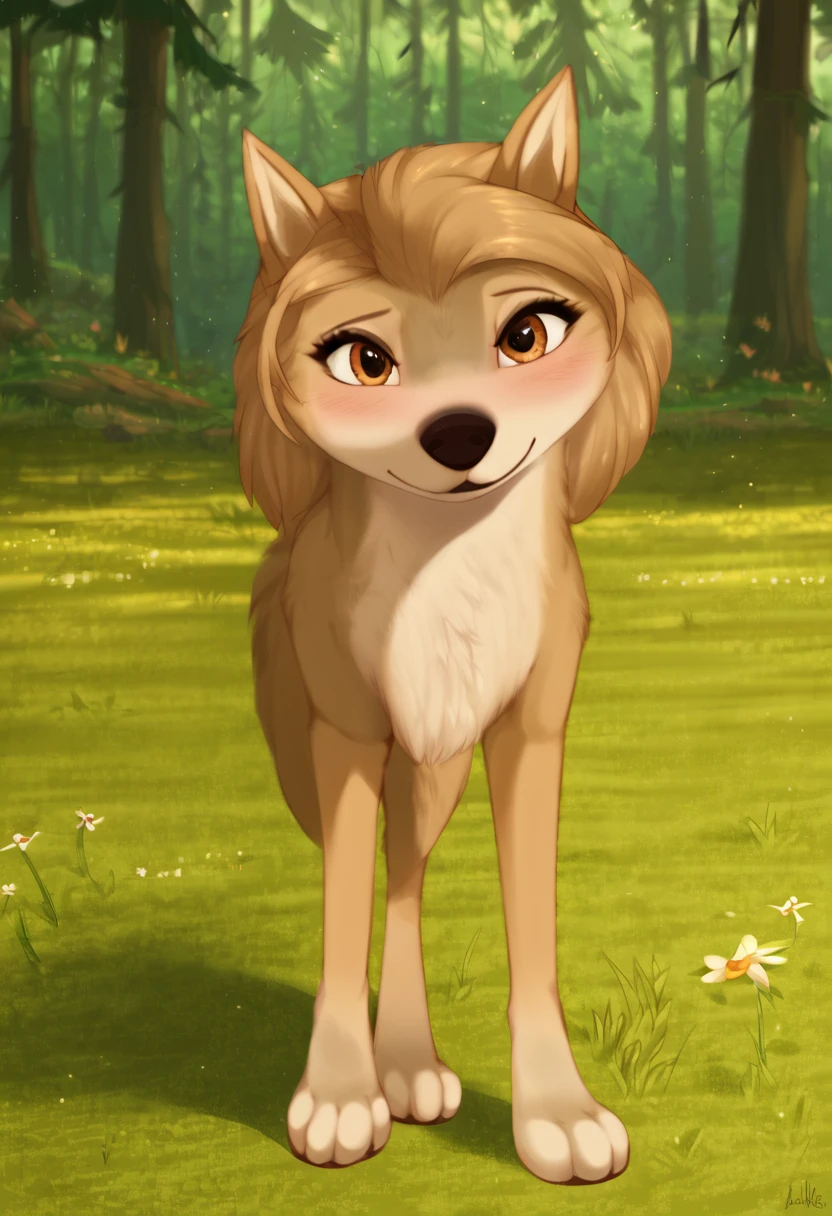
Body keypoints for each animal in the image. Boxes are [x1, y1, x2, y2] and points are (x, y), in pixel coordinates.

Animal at [233, 65, 672, 1182]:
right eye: (363, 360)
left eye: (527, 336)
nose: (461, 432)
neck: (449, 574)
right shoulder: (346, 733)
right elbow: (342, 919)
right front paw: (339, 1097)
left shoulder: (529, 733)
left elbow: (530, 939)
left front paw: (555, 1113)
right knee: (390, 881)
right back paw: (394, 1069)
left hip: (433, 768)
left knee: (410, 879)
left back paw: (409, 1063)